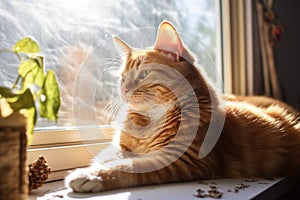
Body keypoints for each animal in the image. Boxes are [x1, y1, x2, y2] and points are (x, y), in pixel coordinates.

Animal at [65, 19, 300, 192]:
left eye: (143, 74)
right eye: (123, 78)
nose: (124, 90)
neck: (148, 122)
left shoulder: (183, 159)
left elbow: (131, 166)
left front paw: (93, 175)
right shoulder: (124, 147)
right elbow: (111, 155)